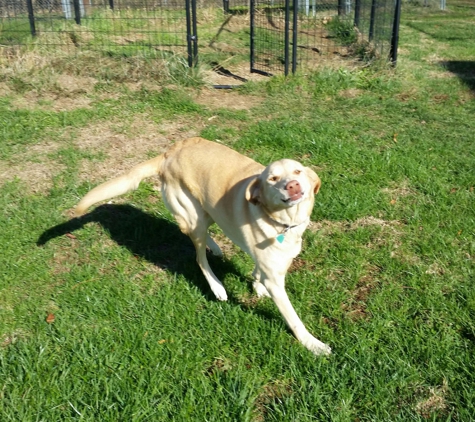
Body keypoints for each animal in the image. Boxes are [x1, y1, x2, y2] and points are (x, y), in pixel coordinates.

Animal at [76, 138, 332, 356]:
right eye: (273, 179)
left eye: (297, 171)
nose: (293, 185)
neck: (282, 221)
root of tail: (169, 153)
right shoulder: (276, 281)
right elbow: (293, 318)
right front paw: (313, 345)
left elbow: (258, 270)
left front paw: (257, 285)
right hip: (193, 215)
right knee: (199, 258)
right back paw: (217, 287)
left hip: (206, 211)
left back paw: (216, 248)